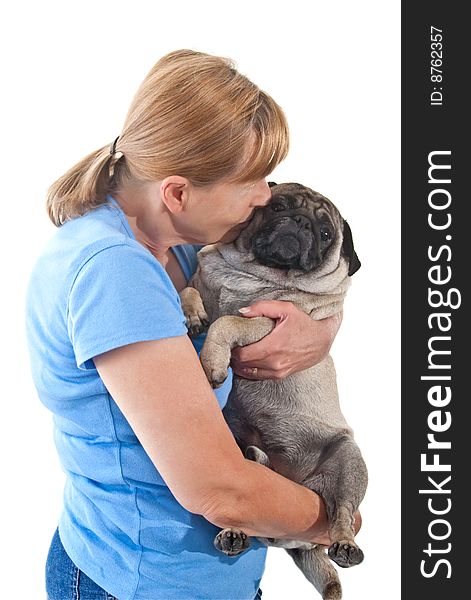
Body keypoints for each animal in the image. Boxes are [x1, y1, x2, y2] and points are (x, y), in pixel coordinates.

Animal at [179, 183, 366, 600]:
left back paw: (345, 544)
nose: (300, 223)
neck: (249, 274)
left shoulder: (271, 323)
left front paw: (212, 362)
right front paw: (192, 313)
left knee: (343, 511)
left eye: (326, 233)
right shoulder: (201, 283)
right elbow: (187, 290)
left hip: (348, 463)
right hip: (237, 449)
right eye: (278, 207)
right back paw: (233, 533)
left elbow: (228, 322)